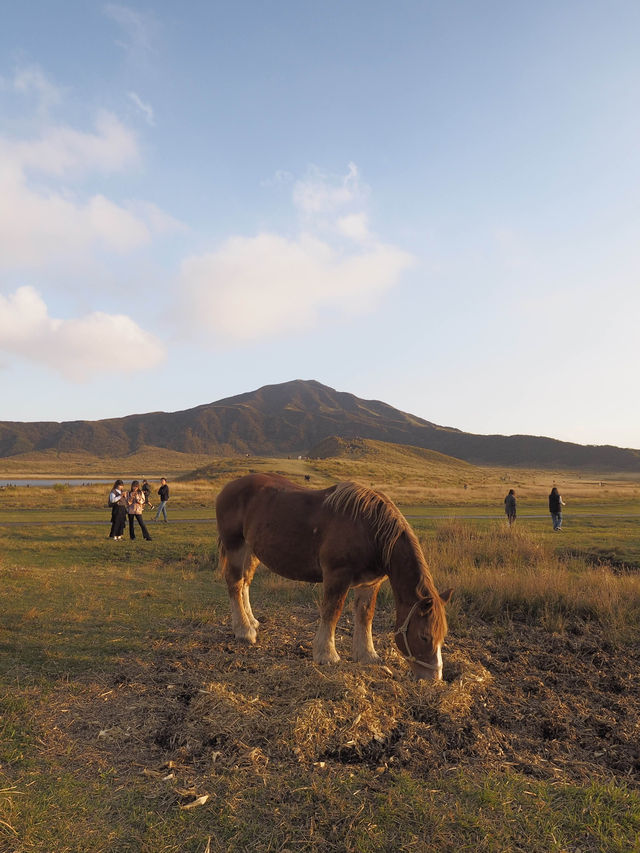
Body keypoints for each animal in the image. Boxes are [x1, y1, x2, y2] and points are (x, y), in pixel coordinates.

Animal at [218, 472, 452, 680]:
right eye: (424, 636)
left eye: (442, 637)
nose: (434, 677)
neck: (369, 530)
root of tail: (228, 487)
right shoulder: (337, 576)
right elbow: (332, 611)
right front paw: (326, 654)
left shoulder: (370, 583)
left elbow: (365, 615)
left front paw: (367, 654)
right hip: (235, 545)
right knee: (235, 583)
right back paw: (244, 630)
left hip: (251, 550)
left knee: (245, 583)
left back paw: (252, 621)